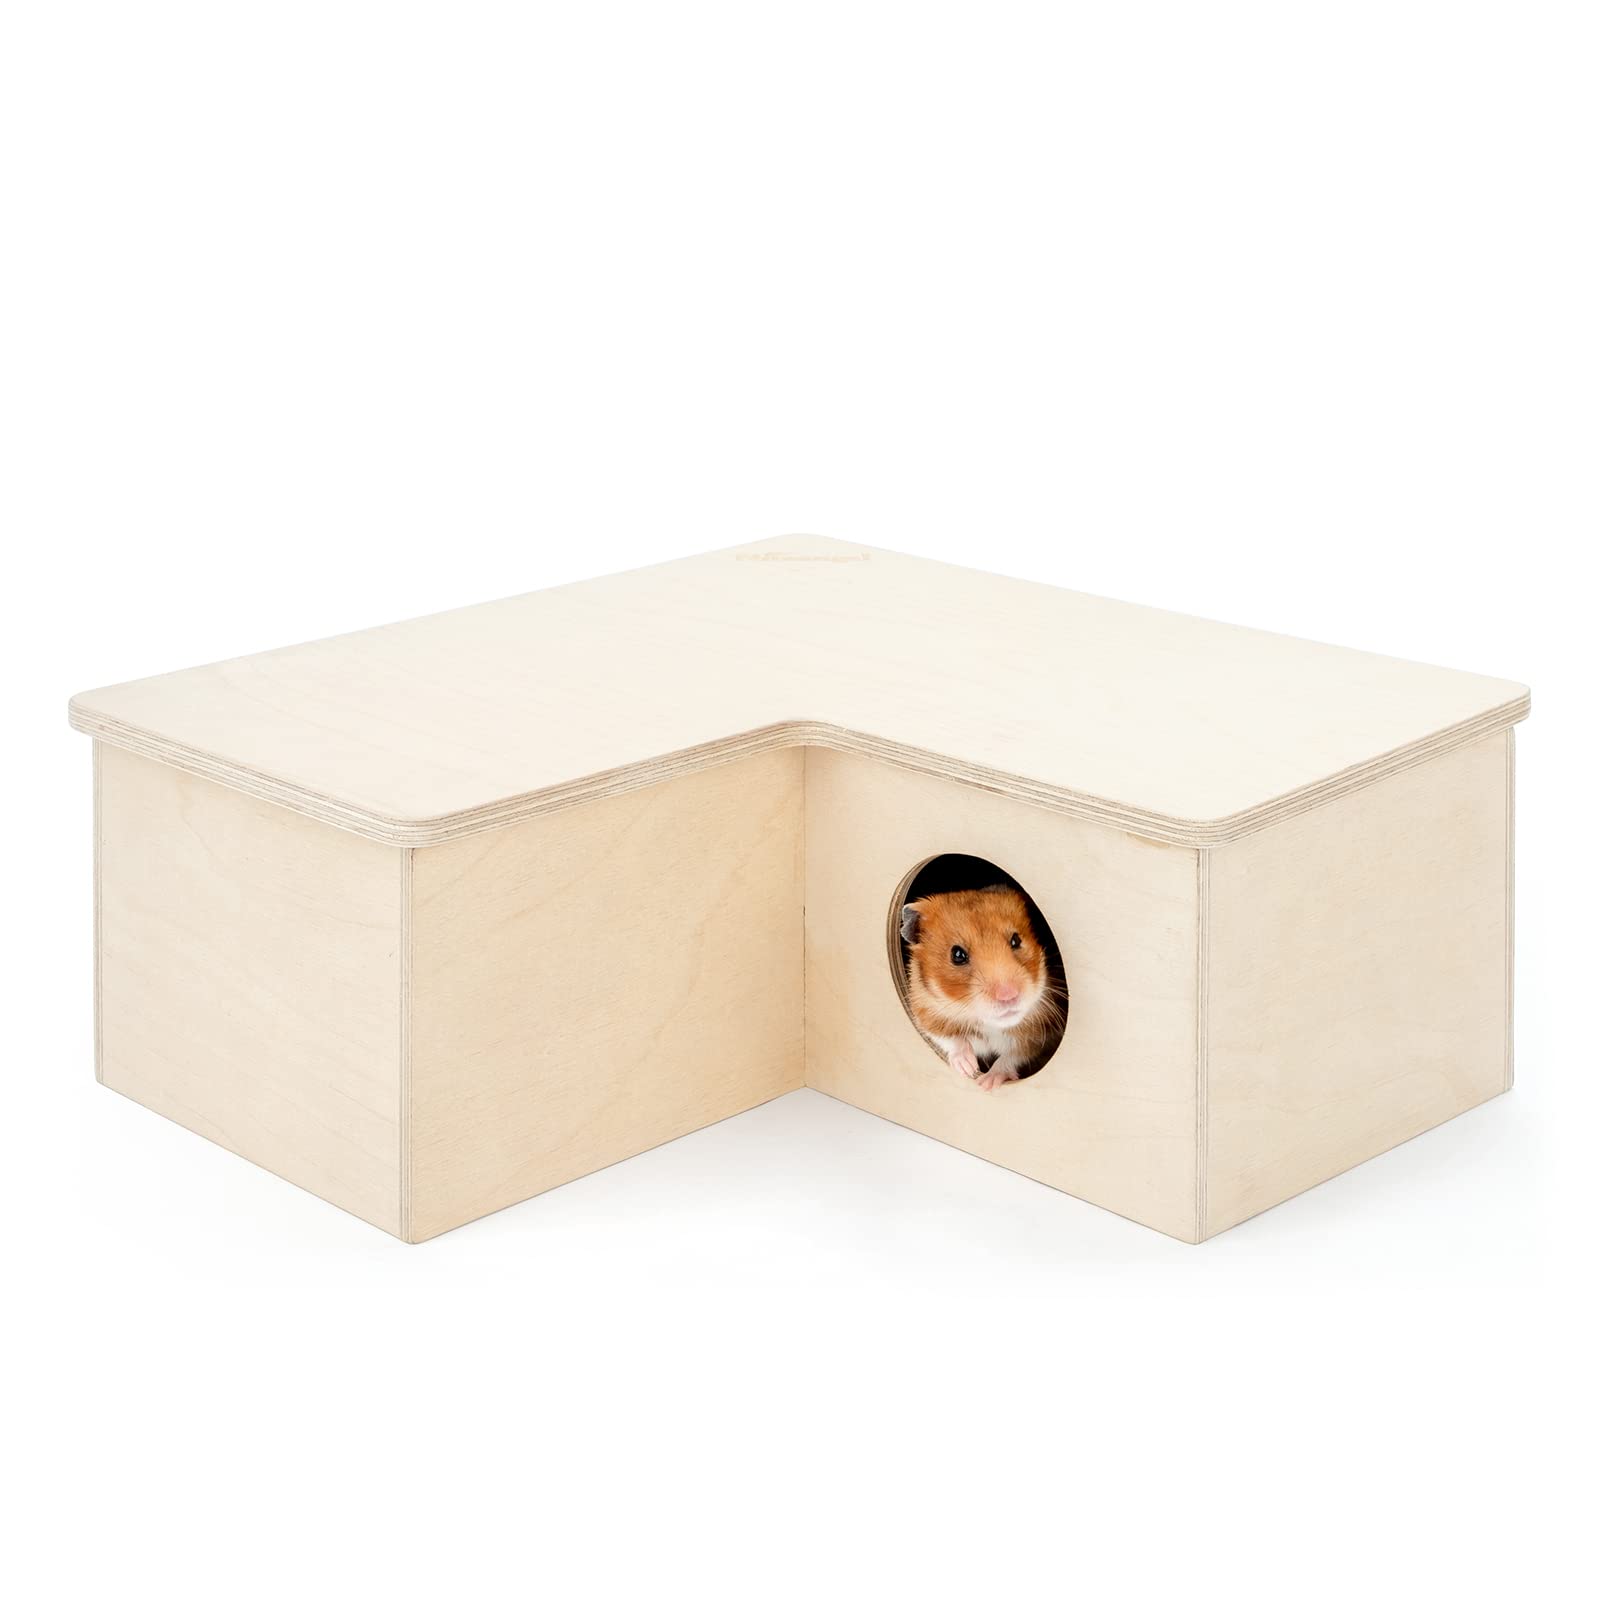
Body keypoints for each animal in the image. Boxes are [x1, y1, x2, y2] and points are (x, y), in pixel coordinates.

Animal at [899, 885, 1065, 1091]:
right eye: (957, 954)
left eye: (1016, 940)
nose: (1008, 996)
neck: (990, 1025)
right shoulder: (924, 1010)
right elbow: (948, 1038)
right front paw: (968, 1068)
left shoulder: (1043, 1035)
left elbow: (1014, 1054)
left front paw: (986, 1083)